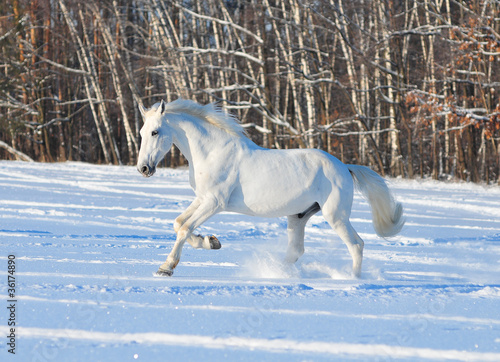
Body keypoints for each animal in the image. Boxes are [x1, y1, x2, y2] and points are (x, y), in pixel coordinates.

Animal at [137, 99, 402, 278]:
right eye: (140, 132)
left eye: (155, 132)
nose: (143, 168)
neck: (213, 152)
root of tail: (345, 168)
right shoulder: (202, 199)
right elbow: (178, 223)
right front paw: (211, 241)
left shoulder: (215, 202)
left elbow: (184, 229)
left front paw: (166, 268)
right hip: (298, 217)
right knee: (295, 251)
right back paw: (278, 274)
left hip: (335, 216)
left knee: (356, 245)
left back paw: (353, 280)